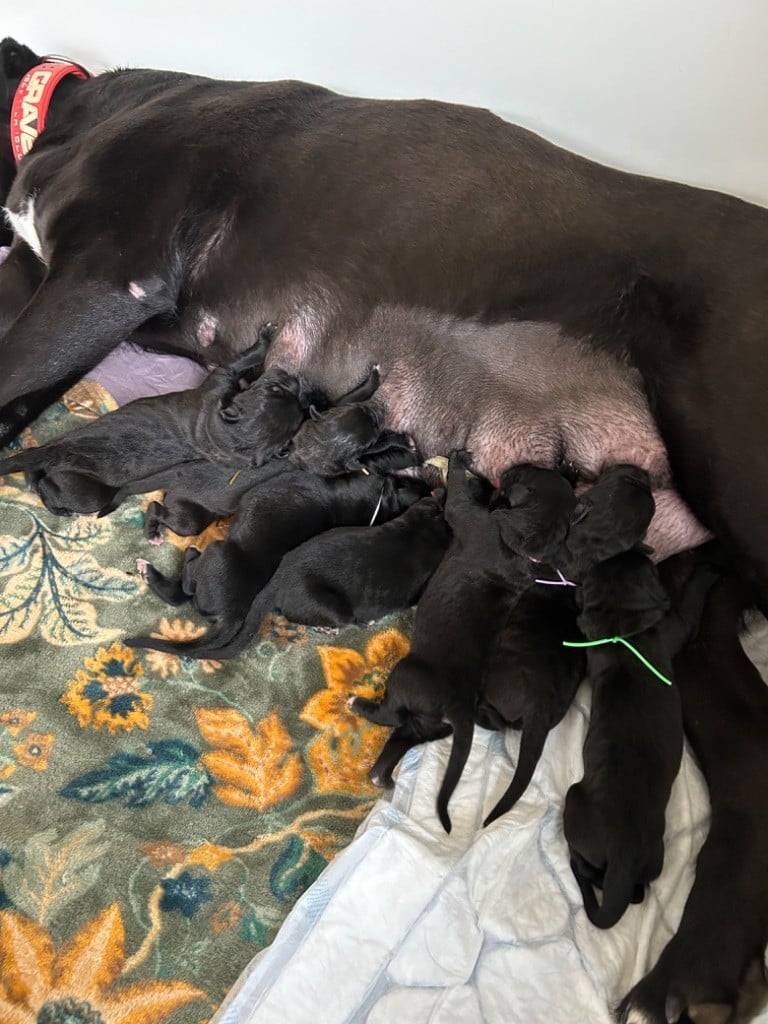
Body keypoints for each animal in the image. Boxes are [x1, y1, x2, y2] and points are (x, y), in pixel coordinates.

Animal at [130, 464, 430, 655]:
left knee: (180, 567)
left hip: (207, 545)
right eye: (413, 483)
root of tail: (232, 616)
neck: (376, 503)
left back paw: (159, 551)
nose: (431, 485)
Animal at [352, 454, 573, 831]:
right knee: (402, 735)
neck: (524, 545)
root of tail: (457, 705)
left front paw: (457, 463)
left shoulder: (469, 517)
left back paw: (358, 704)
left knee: (389, 714)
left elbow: (456, 499)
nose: (508, 469)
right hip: (428, 724)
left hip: (406, 676)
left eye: (527, 473)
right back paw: (382, 776)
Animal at [481, 462, 655, 823]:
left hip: (494, 683)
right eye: (629, 480)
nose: (644, 474)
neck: (586, 550)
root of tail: (538, 709)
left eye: (524, 474)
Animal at [565, 552, 720, 929]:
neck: (621, 631)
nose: (644, 548)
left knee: (618, 885)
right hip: (578, 804)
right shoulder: (678, 625)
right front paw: (706, 571)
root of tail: (624, 854)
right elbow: (690, 604)